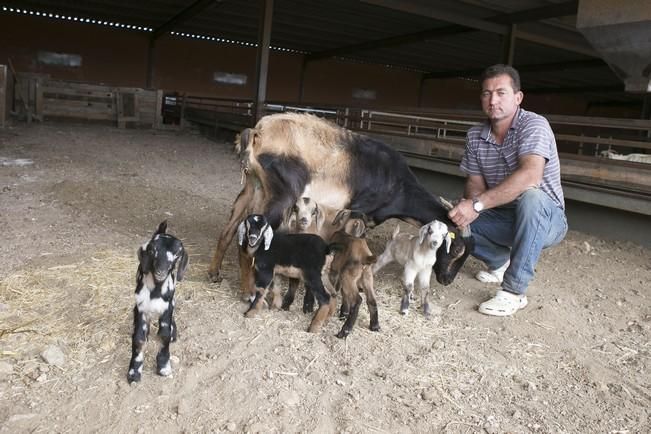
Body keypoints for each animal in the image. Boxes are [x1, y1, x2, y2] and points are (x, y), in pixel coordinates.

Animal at [127, 220, 188, 384]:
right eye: (153, 250)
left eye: (178, 253)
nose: (161, 271)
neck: (156, 291)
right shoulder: (141, 308)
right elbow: (139, 338)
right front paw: (134, 371)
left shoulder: (167, 308)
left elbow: (165, 334)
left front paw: (163, 366)